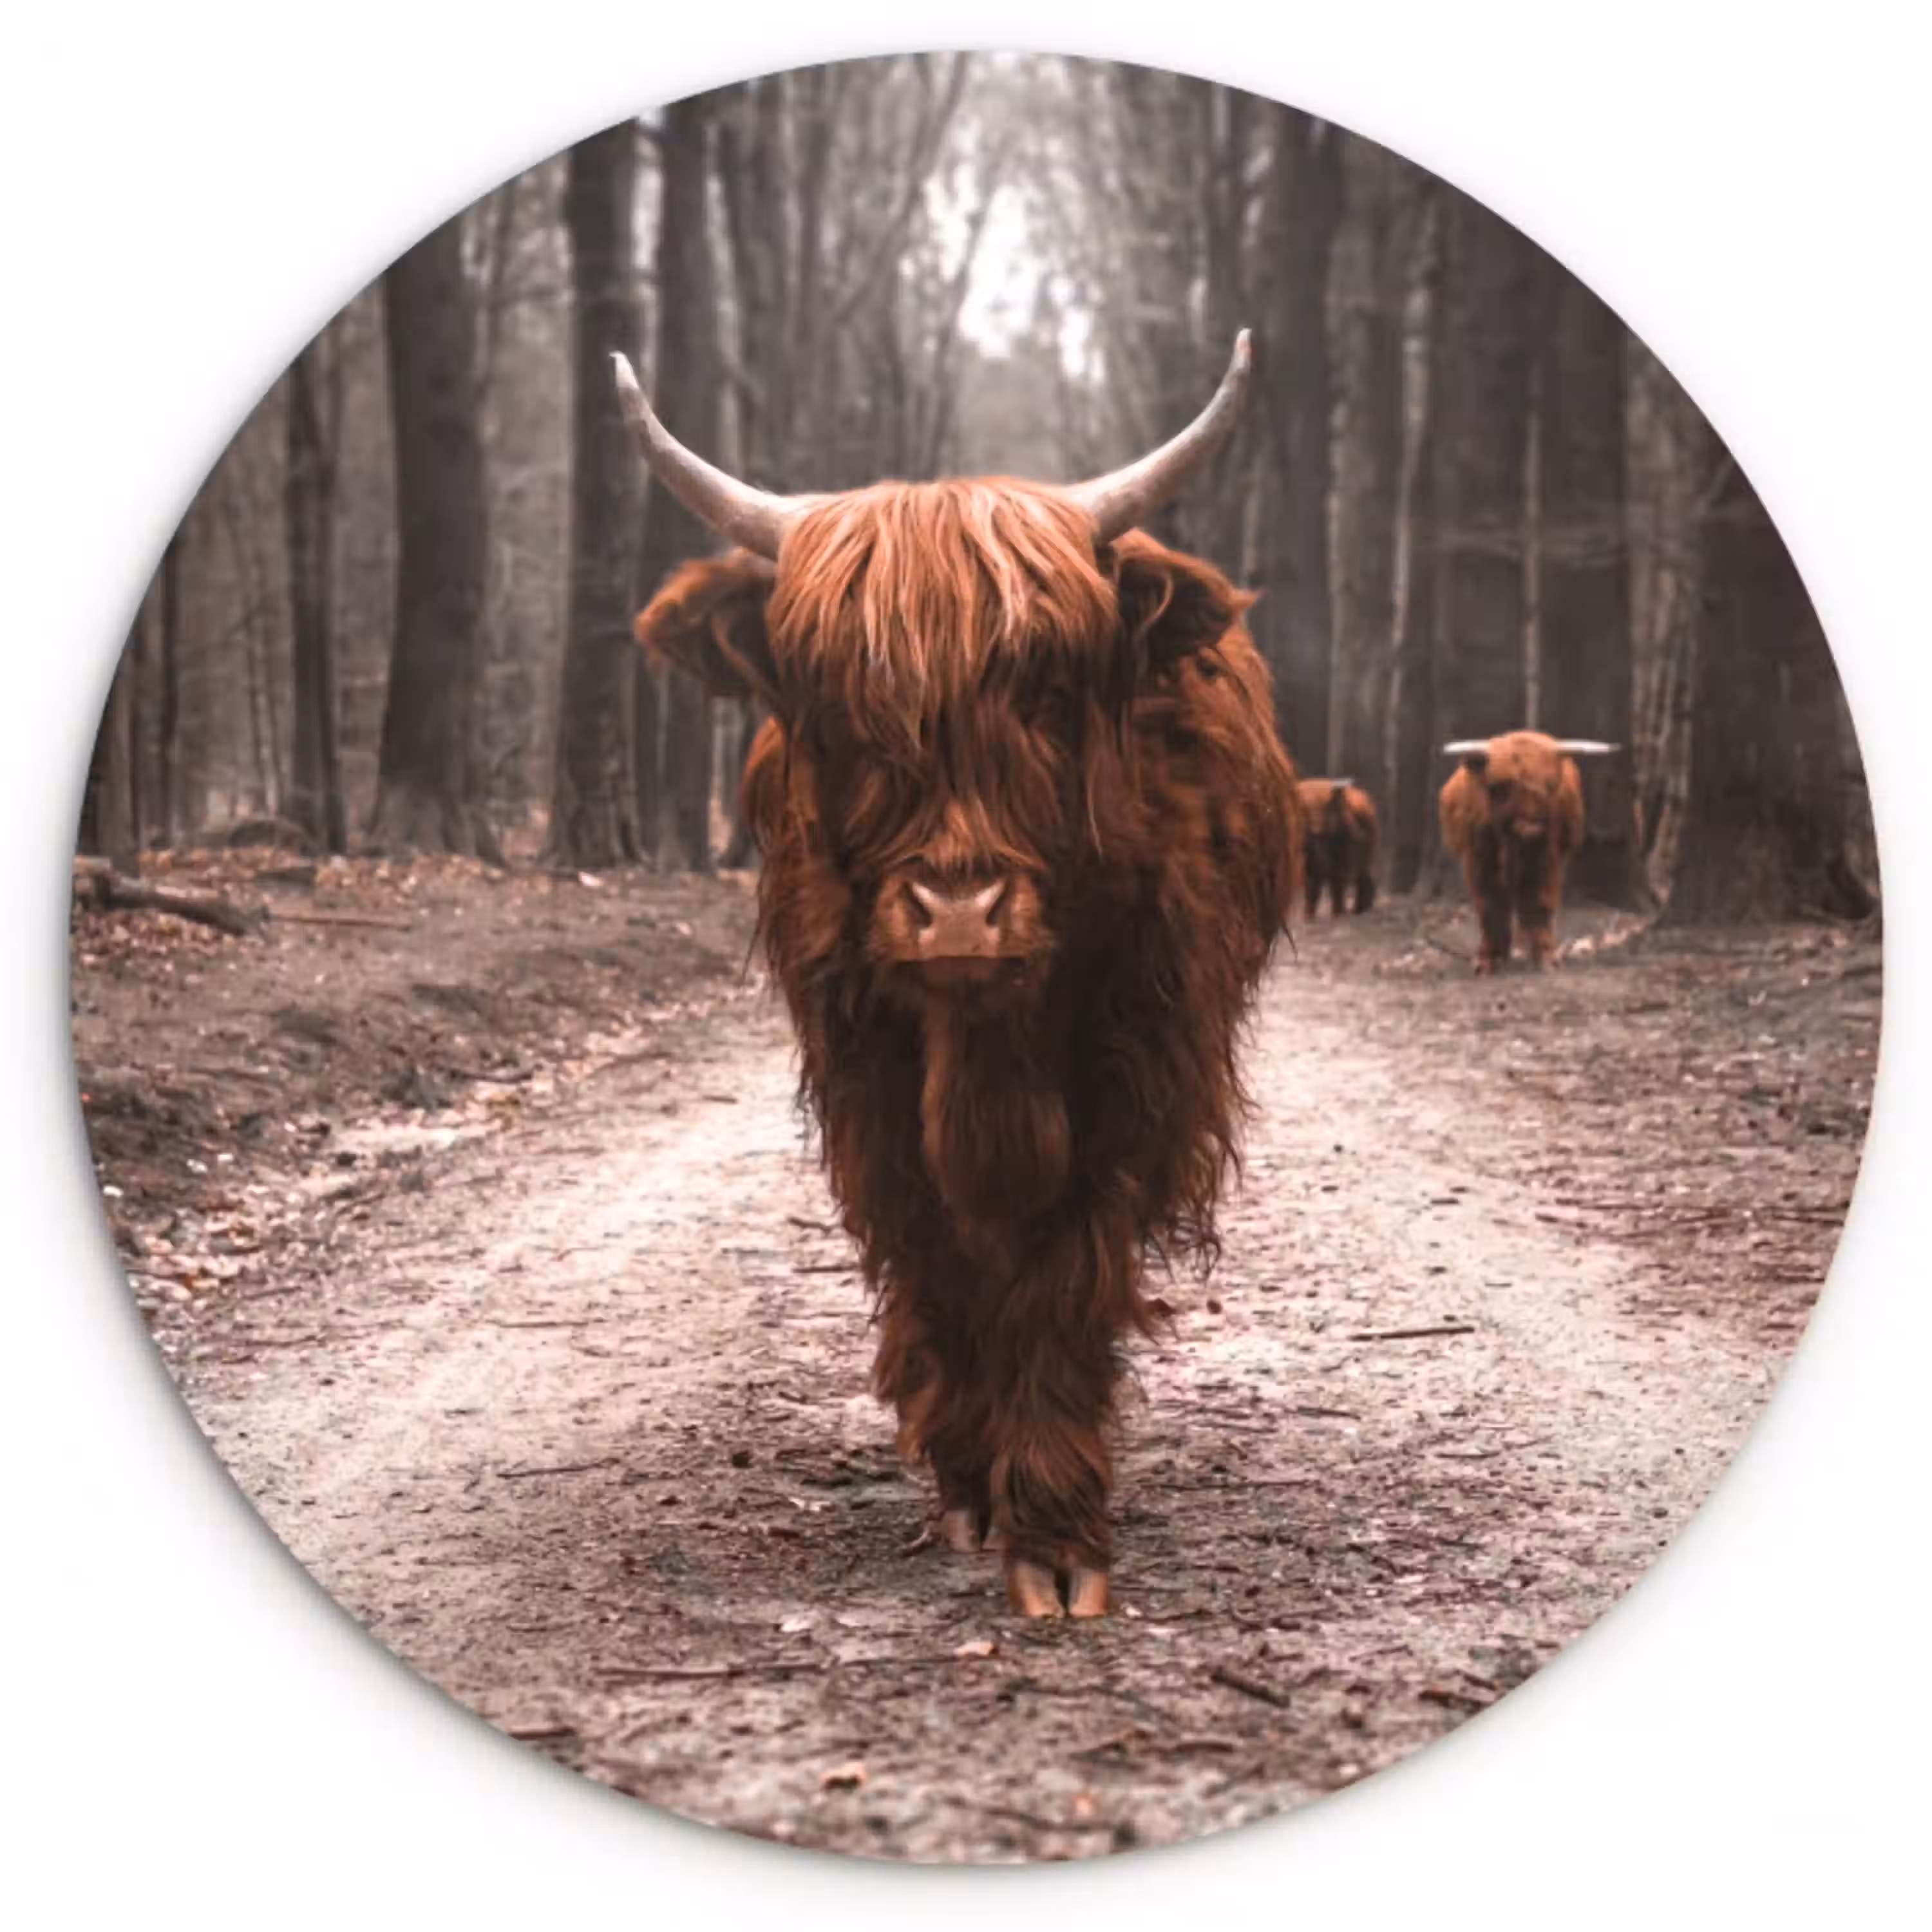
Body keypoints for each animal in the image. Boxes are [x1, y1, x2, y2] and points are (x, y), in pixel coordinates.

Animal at [619, 335, 1302, 1618]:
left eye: (1044, 691)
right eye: (840, 707)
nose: (958, 915)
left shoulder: (1133, 1070)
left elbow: (1064, 1268)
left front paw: (1057, 1532)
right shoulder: (866, 1077)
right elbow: (937, 1255)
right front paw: (974, 1482)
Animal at [1296, 778, 1379, 917]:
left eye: (1327, 807)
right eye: (1304, 809)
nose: (1317, 829)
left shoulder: (1346, 852)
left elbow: (1338, 884)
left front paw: (1338, 914)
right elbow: (1311, 887)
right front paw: (1308, 917)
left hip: (1370, 848)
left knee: (1362, 875)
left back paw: (1360, 911)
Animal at [1438, 730, 1618, 972]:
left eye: (1551, 785)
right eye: (1497, 788)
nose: (1530, 828)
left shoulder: (1548, 860)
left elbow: (1539, 904)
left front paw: (1546, 958)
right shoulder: (1477, 861)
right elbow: (1490, 906)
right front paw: (1488, 960)